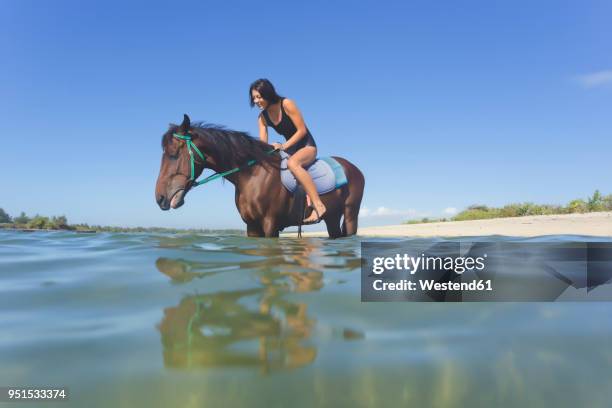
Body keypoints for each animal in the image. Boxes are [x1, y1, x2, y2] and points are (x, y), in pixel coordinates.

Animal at [155, 114, 364, 239]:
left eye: (173, 154)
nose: (160, 198)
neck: (253, 175)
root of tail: (354, 169)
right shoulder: (252, 226)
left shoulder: (270, 224)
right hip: (332, 217)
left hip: (351, 214)